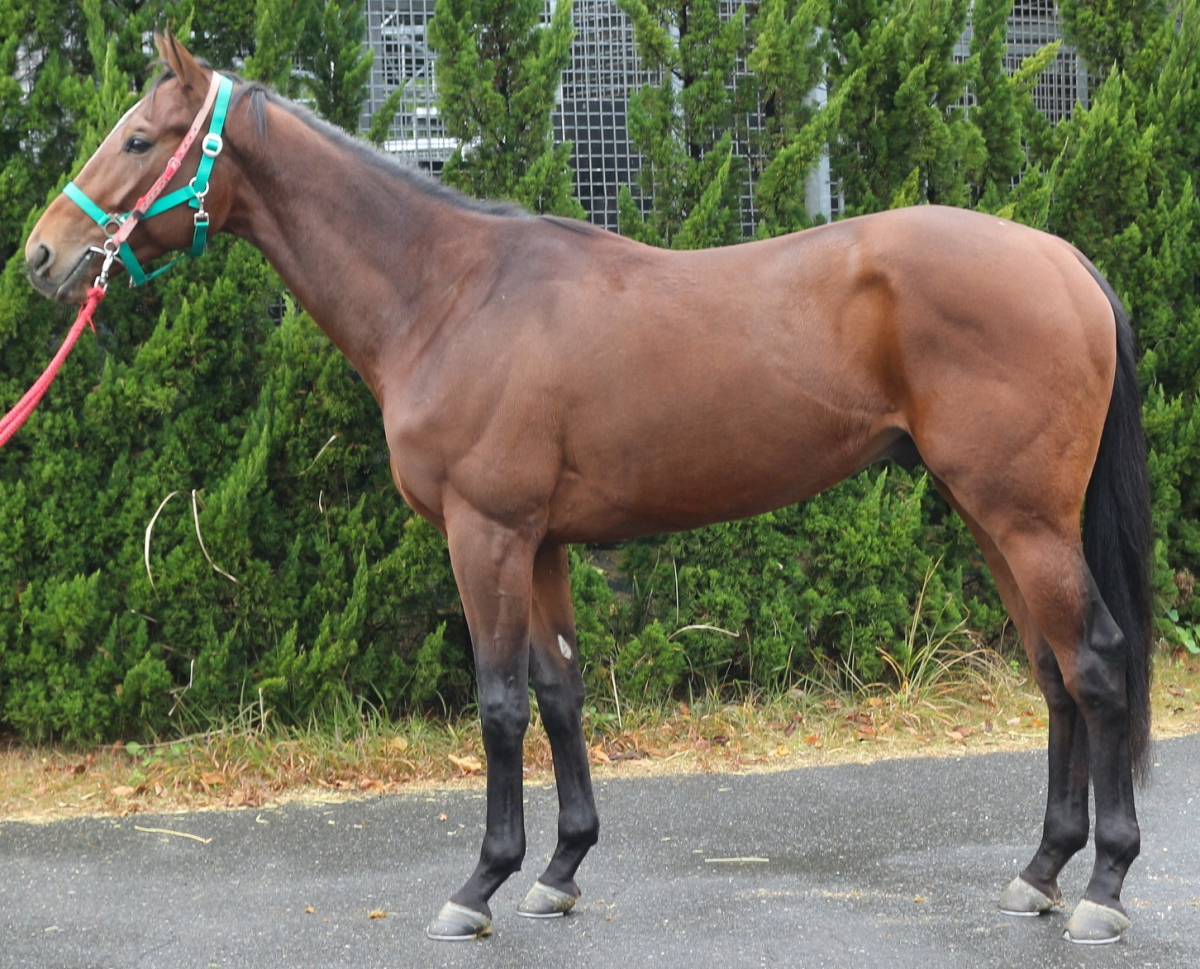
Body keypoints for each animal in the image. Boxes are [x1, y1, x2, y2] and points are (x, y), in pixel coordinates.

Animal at [23, 33, 1153, 945]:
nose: (42, 254)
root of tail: (1063, 259)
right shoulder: (544, 542)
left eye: (138, 140)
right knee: (1054, 672)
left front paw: (477, 885)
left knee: (1096, 663)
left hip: (1023, 519)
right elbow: (561, 692)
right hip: (992, 519)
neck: (449, 294)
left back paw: (1103, 886)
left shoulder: (485, 534)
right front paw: (559, 872)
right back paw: (1041, 872)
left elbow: (498, 704)